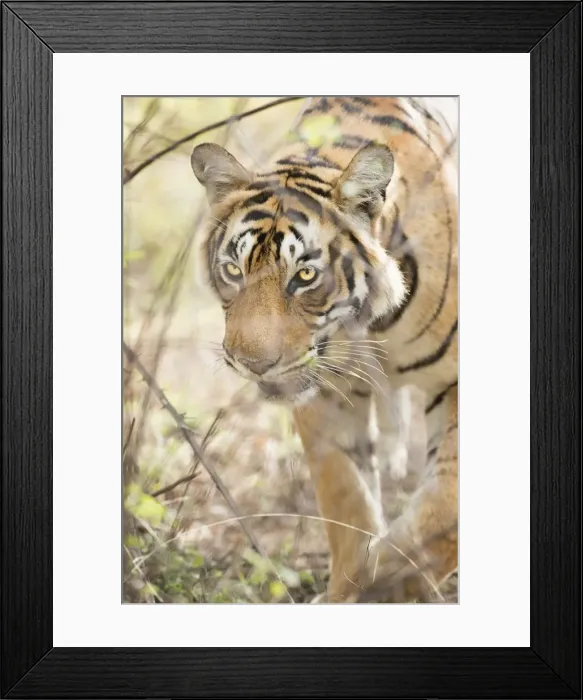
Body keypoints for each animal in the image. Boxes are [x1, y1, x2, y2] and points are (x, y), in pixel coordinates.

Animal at [191, 96, 458, 603]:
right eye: (233, 269)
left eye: (305, 276)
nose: (252, 364)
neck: (368, 325)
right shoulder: (327, 397)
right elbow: (347, 501)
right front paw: (350, 589)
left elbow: (443, 509)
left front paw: (387, 584)